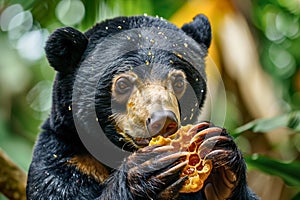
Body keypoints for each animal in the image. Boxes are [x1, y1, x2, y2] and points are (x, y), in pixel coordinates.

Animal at [26, 14, 258, 200]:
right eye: (122, 84)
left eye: (179, 82)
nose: (162, 120)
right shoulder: (66, 159)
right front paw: (147, 170)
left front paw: (222, 159)